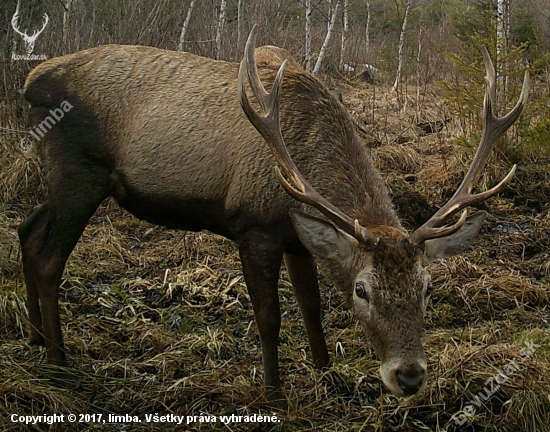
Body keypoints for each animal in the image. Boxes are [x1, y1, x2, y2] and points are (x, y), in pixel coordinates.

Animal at [20, 25, 532, 404]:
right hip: (78, 172)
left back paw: (34, 338)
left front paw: (327, 373)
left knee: (26, 229)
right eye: (362, 290)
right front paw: (273, 391)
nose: (408, 377)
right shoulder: (253, 227)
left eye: (427, 287)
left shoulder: (298, 238)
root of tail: (30, 83)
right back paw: (59, 362)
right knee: (48, 258)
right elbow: (269, 316)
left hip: (60, 177)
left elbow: (311, 307)